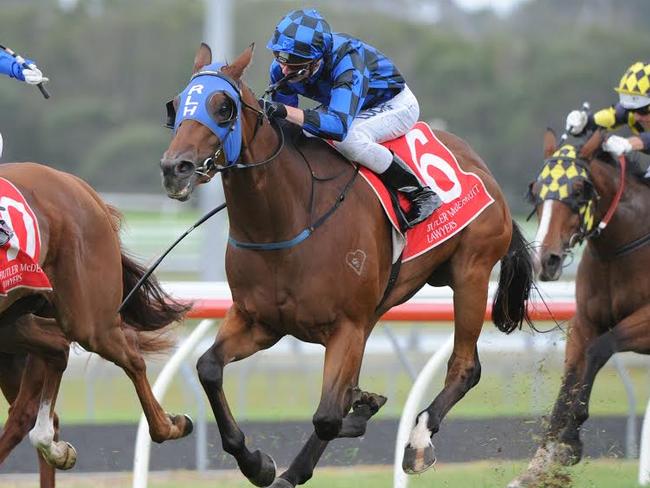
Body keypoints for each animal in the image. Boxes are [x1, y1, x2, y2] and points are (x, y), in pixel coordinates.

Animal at [0, 161, 192, 480]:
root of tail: (79, 186)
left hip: (88, 319)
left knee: (126, 353)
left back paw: (169, 425)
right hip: (14, 321)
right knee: (55, 350)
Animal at [161, 43, 532, 486]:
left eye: (223, 107)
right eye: (176, 105)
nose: (175, 168)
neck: (287, 220)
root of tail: (483, 170)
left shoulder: (346, 326)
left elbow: (328, 416)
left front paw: (358, 412)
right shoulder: (259, 321)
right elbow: (209, 368)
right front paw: (258, 463)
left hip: (470, 273)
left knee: (465, 368)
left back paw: (418, 441)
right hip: (380, 307)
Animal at [506, 127, 648, 486]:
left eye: (580, 190)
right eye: (535, 190)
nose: (547, 259)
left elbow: (599, 349)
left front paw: (570, 441)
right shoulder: (583, 322)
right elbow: (570, 377)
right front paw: (539, 464)